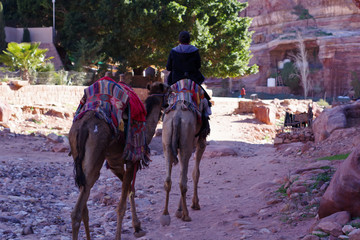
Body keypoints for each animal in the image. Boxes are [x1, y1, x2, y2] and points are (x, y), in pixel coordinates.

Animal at [69, 81, 169, 240]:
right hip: (95, 156)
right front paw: (130, 230)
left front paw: (137, 227)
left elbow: (130, 189)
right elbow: (122, 204)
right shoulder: (131, 161)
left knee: (83, 205)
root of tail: (84, 126)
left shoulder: (115, 163)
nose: (169, 105)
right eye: (169, 91)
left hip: (78, 157)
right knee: (77, 211)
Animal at [160, 79, 208, 225]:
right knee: (183, 181)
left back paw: (165, 215)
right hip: (187, 142)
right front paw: (194, 204)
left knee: (168, 179)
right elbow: (195, 173)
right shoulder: (199, 142)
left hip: (167, 140)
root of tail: (177, 116)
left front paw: (178, 210)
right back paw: (186, 215)